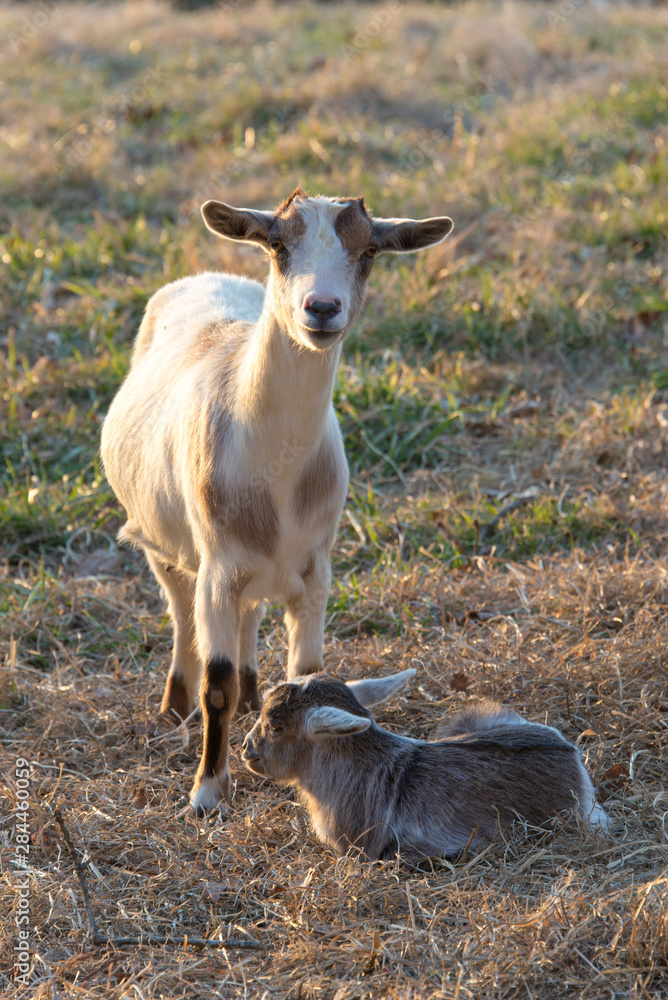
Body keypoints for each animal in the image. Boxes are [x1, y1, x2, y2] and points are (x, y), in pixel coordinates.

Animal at [100, 188, 453, 811]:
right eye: (278, 246)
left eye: (368, 251)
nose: (322, 308)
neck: (276, 466)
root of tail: (205, 276)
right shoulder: (218, 566)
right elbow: (214, 685)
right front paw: (207, 794)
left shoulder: (314, 570)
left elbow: (307, 669)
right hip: (164, 544)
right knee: (179, 608)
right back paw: (174, 706)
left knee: (250, 611)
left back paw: (249, 691)